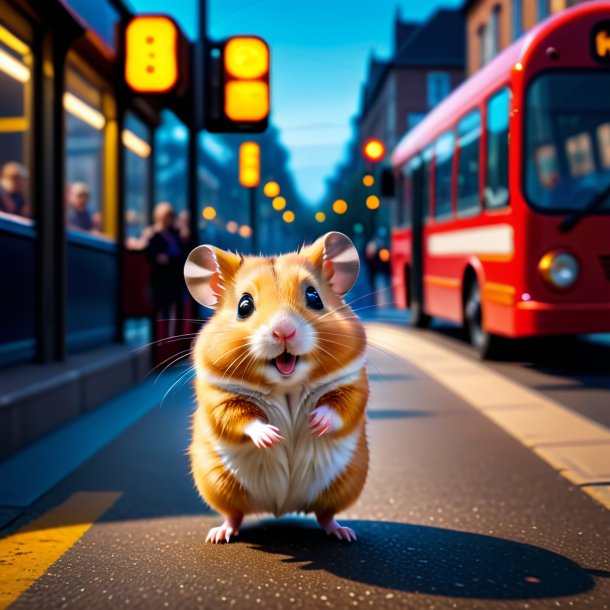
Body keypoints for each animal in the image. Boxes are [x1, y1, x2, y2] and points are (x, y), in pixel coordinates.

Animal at [183, 233, 368, 540]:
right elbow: (239, 418)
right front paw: (272, 436)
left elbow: (341, 406)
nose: (284, 331)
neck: (286, 387)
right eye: (244, 306)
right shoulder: (219, 396)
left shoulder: (352, 382)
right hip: (217, 483)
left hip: (345, 483)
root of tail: (280, 508)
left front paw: (315, 423)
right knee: (233, 514)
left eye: (314, 297)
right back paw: (219, 534)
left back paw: (343, 533)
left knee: (325, 515)